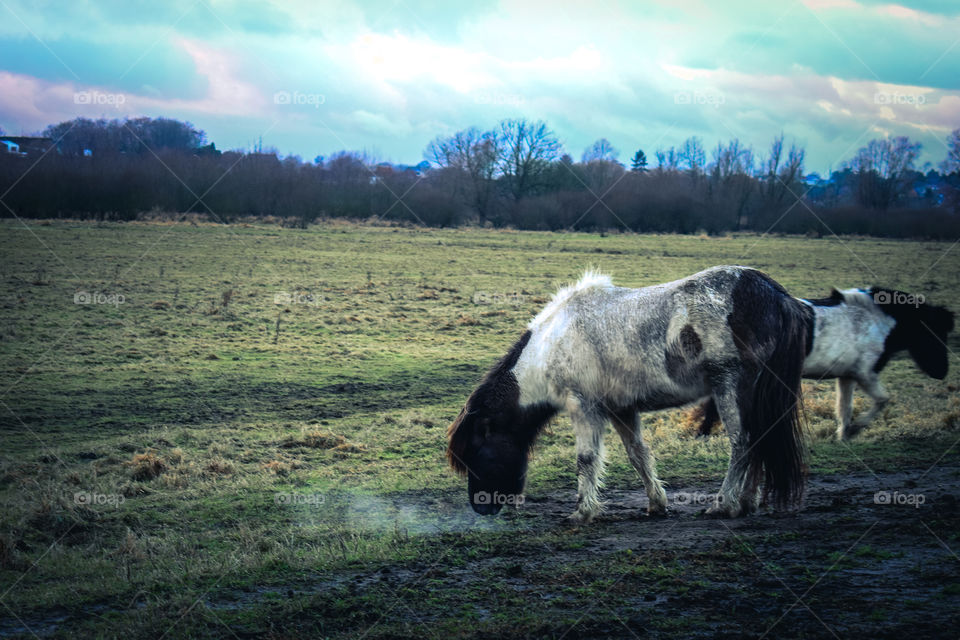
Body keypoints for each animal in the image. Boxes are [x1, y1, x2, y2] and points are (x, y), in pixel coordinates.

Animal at [447, 266, 813, 522]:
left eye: (477, 453)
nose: (481, 507)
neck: (553, 343)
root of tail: (778, 295)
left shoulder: (583, 408)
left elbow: (586, 459)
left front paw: (582, 512)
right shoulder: (620, 408)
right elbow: (638, 455)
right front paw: (656, 504)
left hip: (729, 386)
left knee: (742, 443)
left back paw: (724, 505)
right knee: (758, 441)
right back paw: (747, 503)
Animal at [696, 287, 954, 441]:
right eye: (932, 333)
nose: (942, 372)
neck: (877, 322)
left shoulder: (848, 376)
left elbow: (845, 408)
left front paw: (843, 435)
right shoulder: (866, 374)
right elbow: (882, 400)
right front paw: (855, 429)